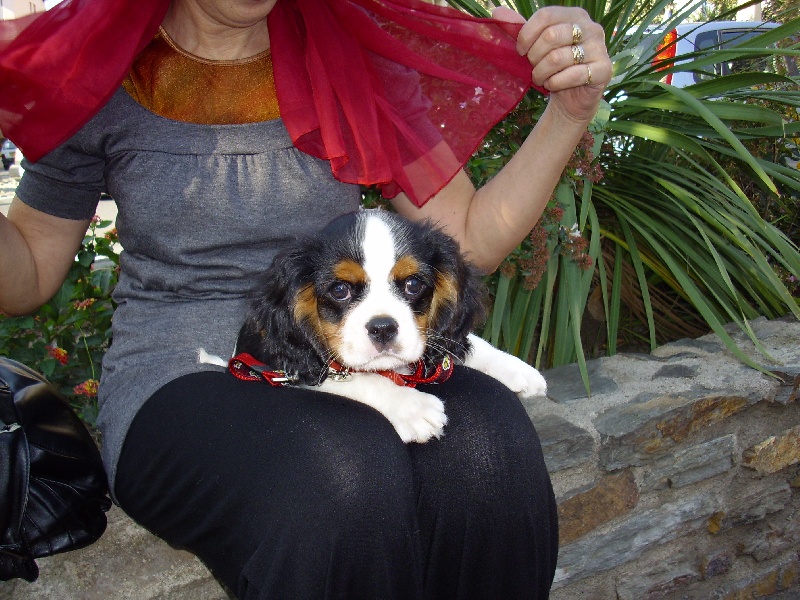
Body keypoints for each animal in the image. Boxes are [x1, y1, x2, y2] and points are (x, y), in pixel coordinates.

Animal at [206, 209, 548, 442]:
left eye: (413, 284)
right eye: (340, 290)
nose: (383, 328)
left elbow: (461, 345)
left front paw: (515, 368)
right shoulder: (293, 369)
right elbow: (358, 379)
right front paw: (413, 408)